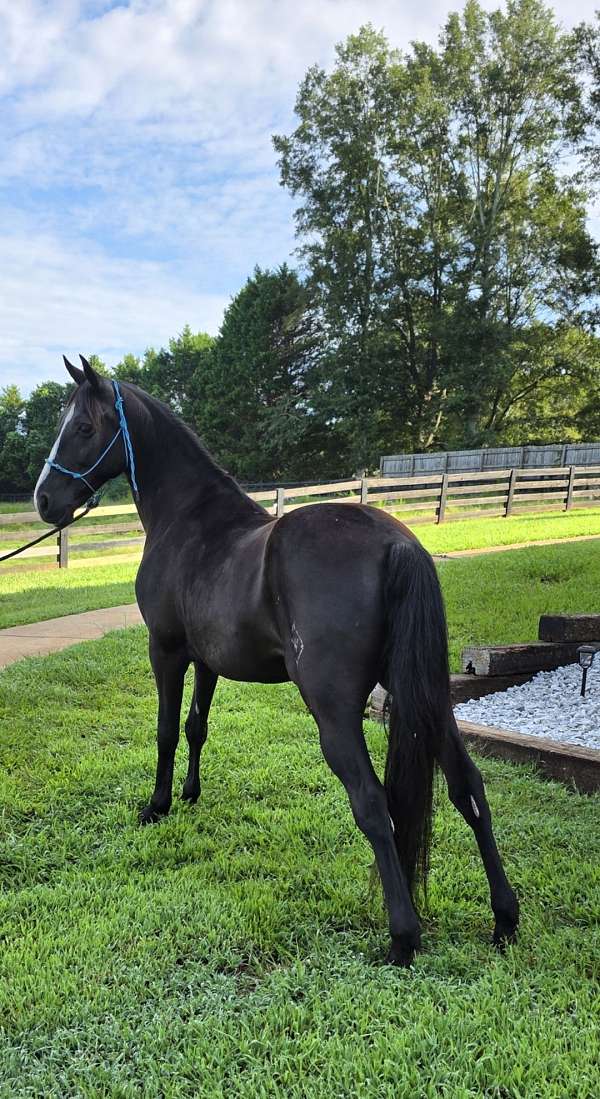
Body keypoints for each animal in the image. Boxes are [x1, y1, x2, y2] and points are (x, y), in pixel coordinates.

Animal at [34, 355, 519, 966]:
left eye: (84, 427)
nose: (43, 500)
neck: (190, 521)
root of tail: (395, 544)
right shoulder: (207, 660)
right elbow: (196, 726)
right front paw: (190, 795)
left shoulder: (165, 650)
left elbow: (166, 729)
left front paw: (158, 805)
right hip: (429, 697)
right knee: (467, 787)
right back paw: (505, 919)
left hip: (334, 713)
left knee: (372, 803)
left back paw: (403, 937)